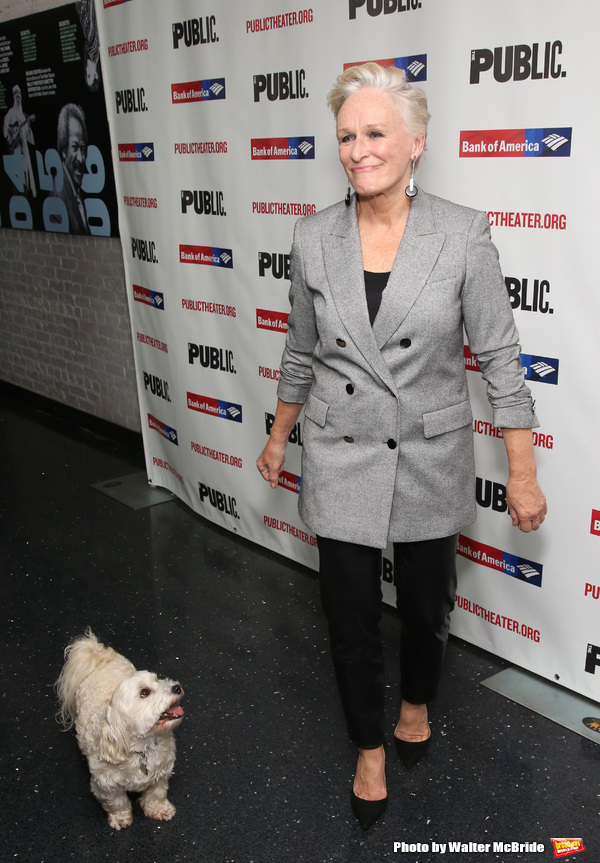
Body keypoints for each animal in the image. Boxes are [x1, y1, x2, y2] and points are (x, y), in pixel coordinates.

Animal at [56, 636, 184, 832]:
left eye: (158, 680)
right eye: (144, 692)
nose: (176, 687)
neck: (141, 748)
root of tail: (98, 656)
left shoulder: (161, 773)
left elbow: (157, 794)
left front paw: (159, 809)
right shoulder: (106, 785)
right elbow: (117, 803)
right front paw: (121, 818)